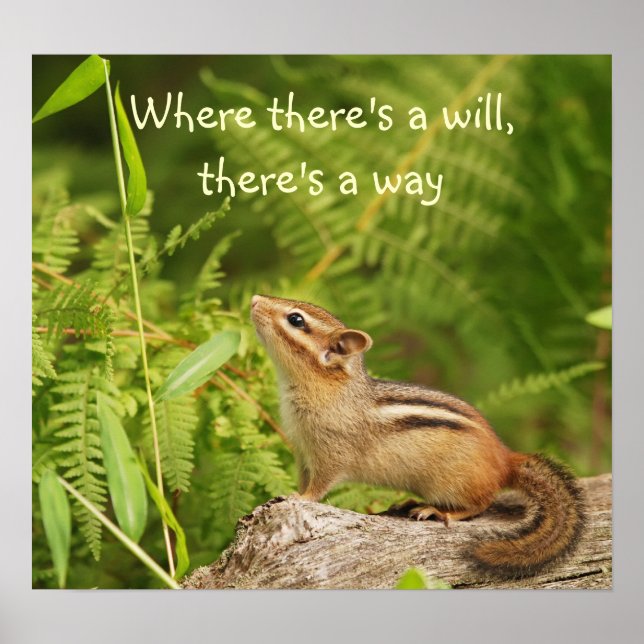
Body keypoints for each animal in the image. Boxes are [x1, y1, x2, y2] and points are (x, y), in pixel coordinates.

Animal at [250, 294, 586, 578]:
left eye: (296, 319)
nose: (254, 299)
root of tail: (505, 459)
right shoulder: (302, 452)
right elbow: (305, 479)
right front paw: (289, 494)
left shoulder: (331, 453)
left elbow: (319, 486)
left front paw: (300, 498)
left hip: (452, 481)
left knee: (480, 504)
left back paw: (438, 511)